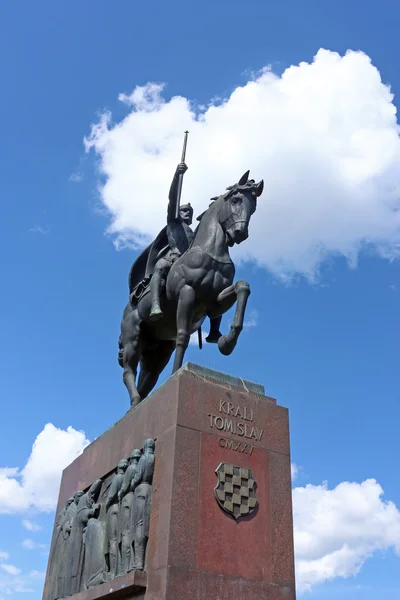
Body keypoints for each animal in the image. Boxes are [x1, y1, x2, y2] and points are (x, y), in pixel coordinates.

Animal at [119, 171, 262, 410]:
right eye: (236, 200)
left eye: (253, 206)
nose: (239, 233)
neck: (210, 252)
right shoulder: (187, 293)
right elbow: (183, 335)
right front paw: (177, 374)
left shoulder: (215, 301)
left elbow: (242, 287)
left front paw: (226, 342)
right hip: (133, 340)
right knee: (129, 371)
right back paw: (136, 401)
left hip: (157, 351)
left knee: (148, 379)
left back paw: (138, 404)